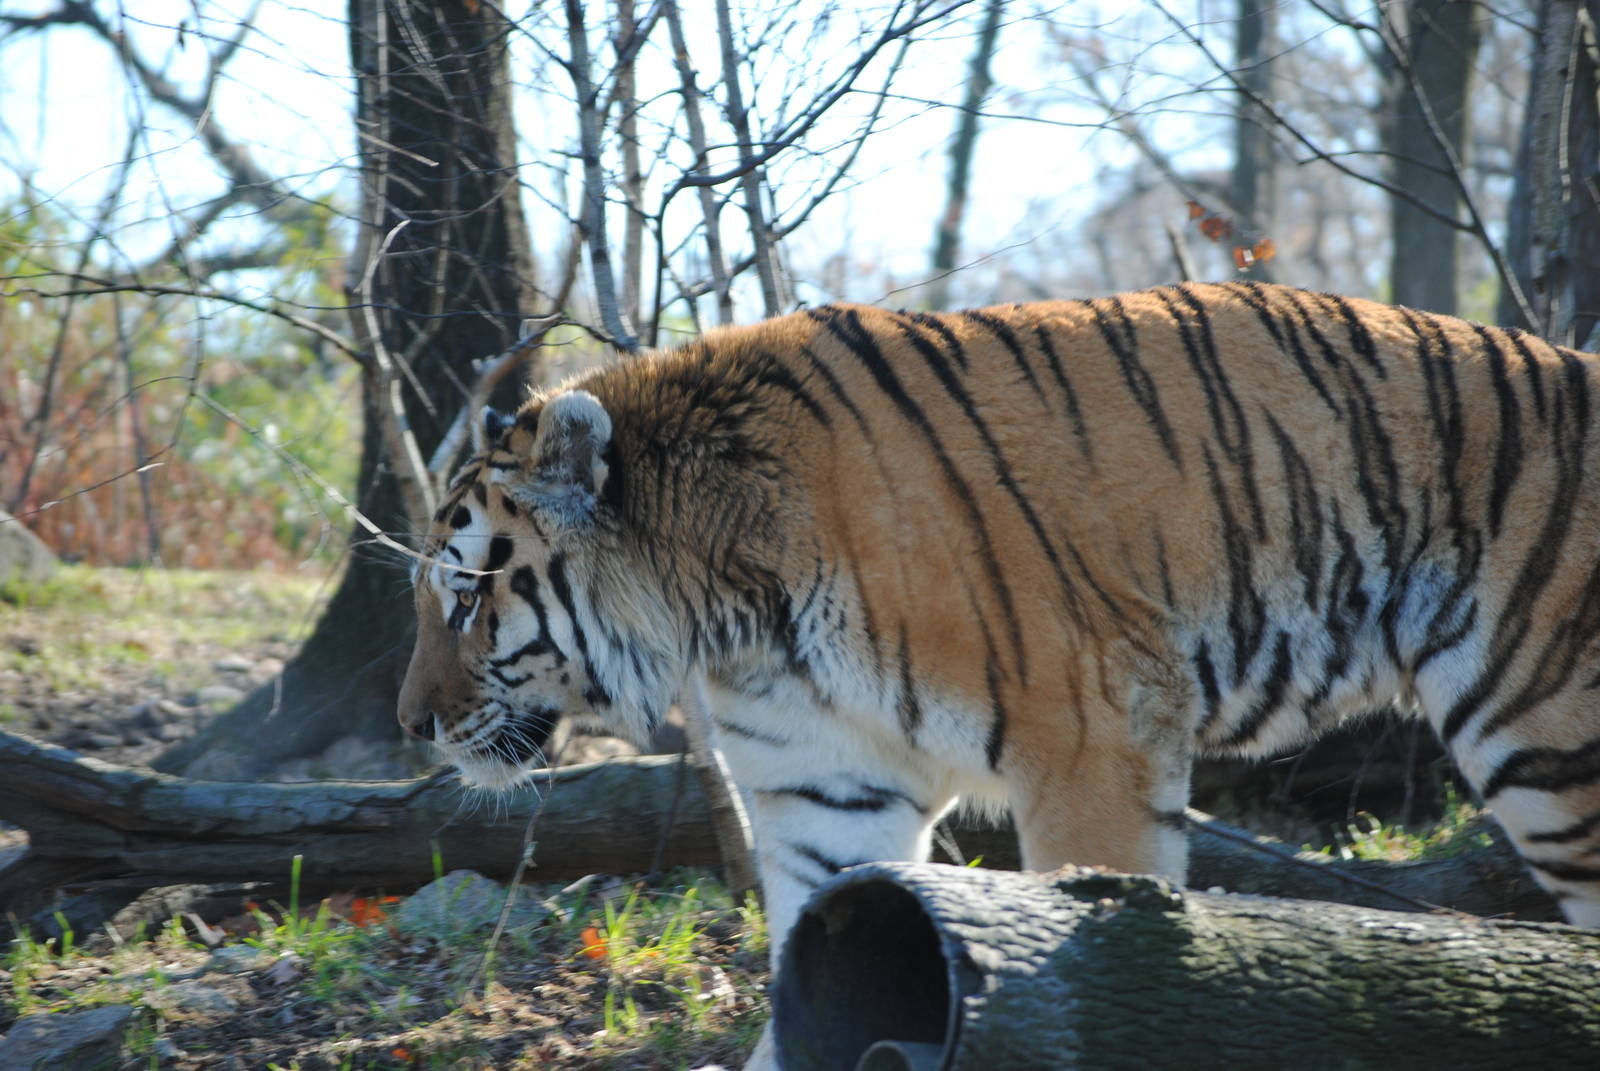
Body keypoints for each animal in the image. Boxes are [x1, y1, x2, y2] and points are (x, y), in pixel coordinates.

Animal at [398, 280, 1600, 1062]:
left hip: (1549, 739)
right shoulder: (825, 790)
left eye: (465, 595)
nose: (411, 724)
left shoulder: (1094, 740)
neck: (734, 610)